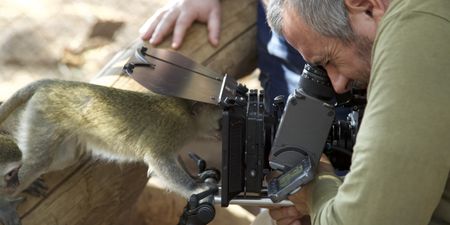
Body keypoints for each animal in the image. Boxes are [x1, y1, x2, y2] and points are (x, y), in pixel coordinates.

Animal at [0, 78, 221, 200]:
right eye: (220, 123)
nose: (220, 135)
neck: (188, 112)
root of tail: (57, 83)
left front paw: (198, 179)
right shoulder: (174, 128)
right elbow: (158, 159)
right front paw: (196, 189)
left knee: (62, 159)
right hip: (45, 113)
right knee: (38, 162)